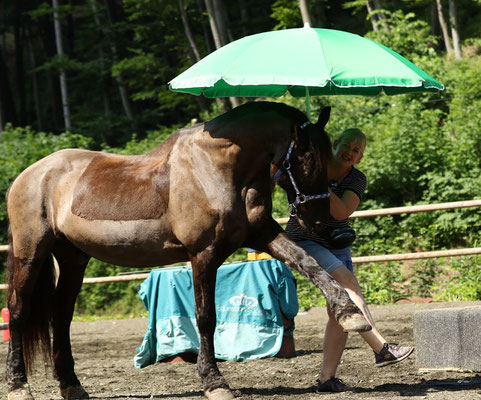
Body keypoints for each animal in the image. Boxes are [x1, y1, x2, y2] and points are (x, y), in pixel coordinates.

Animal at [5, 101, 370, 400]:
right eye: (306, 160)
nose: (318, 220)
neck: (217, 169)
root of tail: (28, 175)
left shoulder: (262, 234)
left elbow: (308, 262)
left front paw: (350, 314)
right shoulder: (203, 254)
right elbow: (206, 316)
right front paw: (214, 382)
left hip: (72, 258)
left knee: (61, 317)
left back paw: (71, 385)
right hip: (31, 253)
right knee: (19, 310)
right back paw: (18, 386)